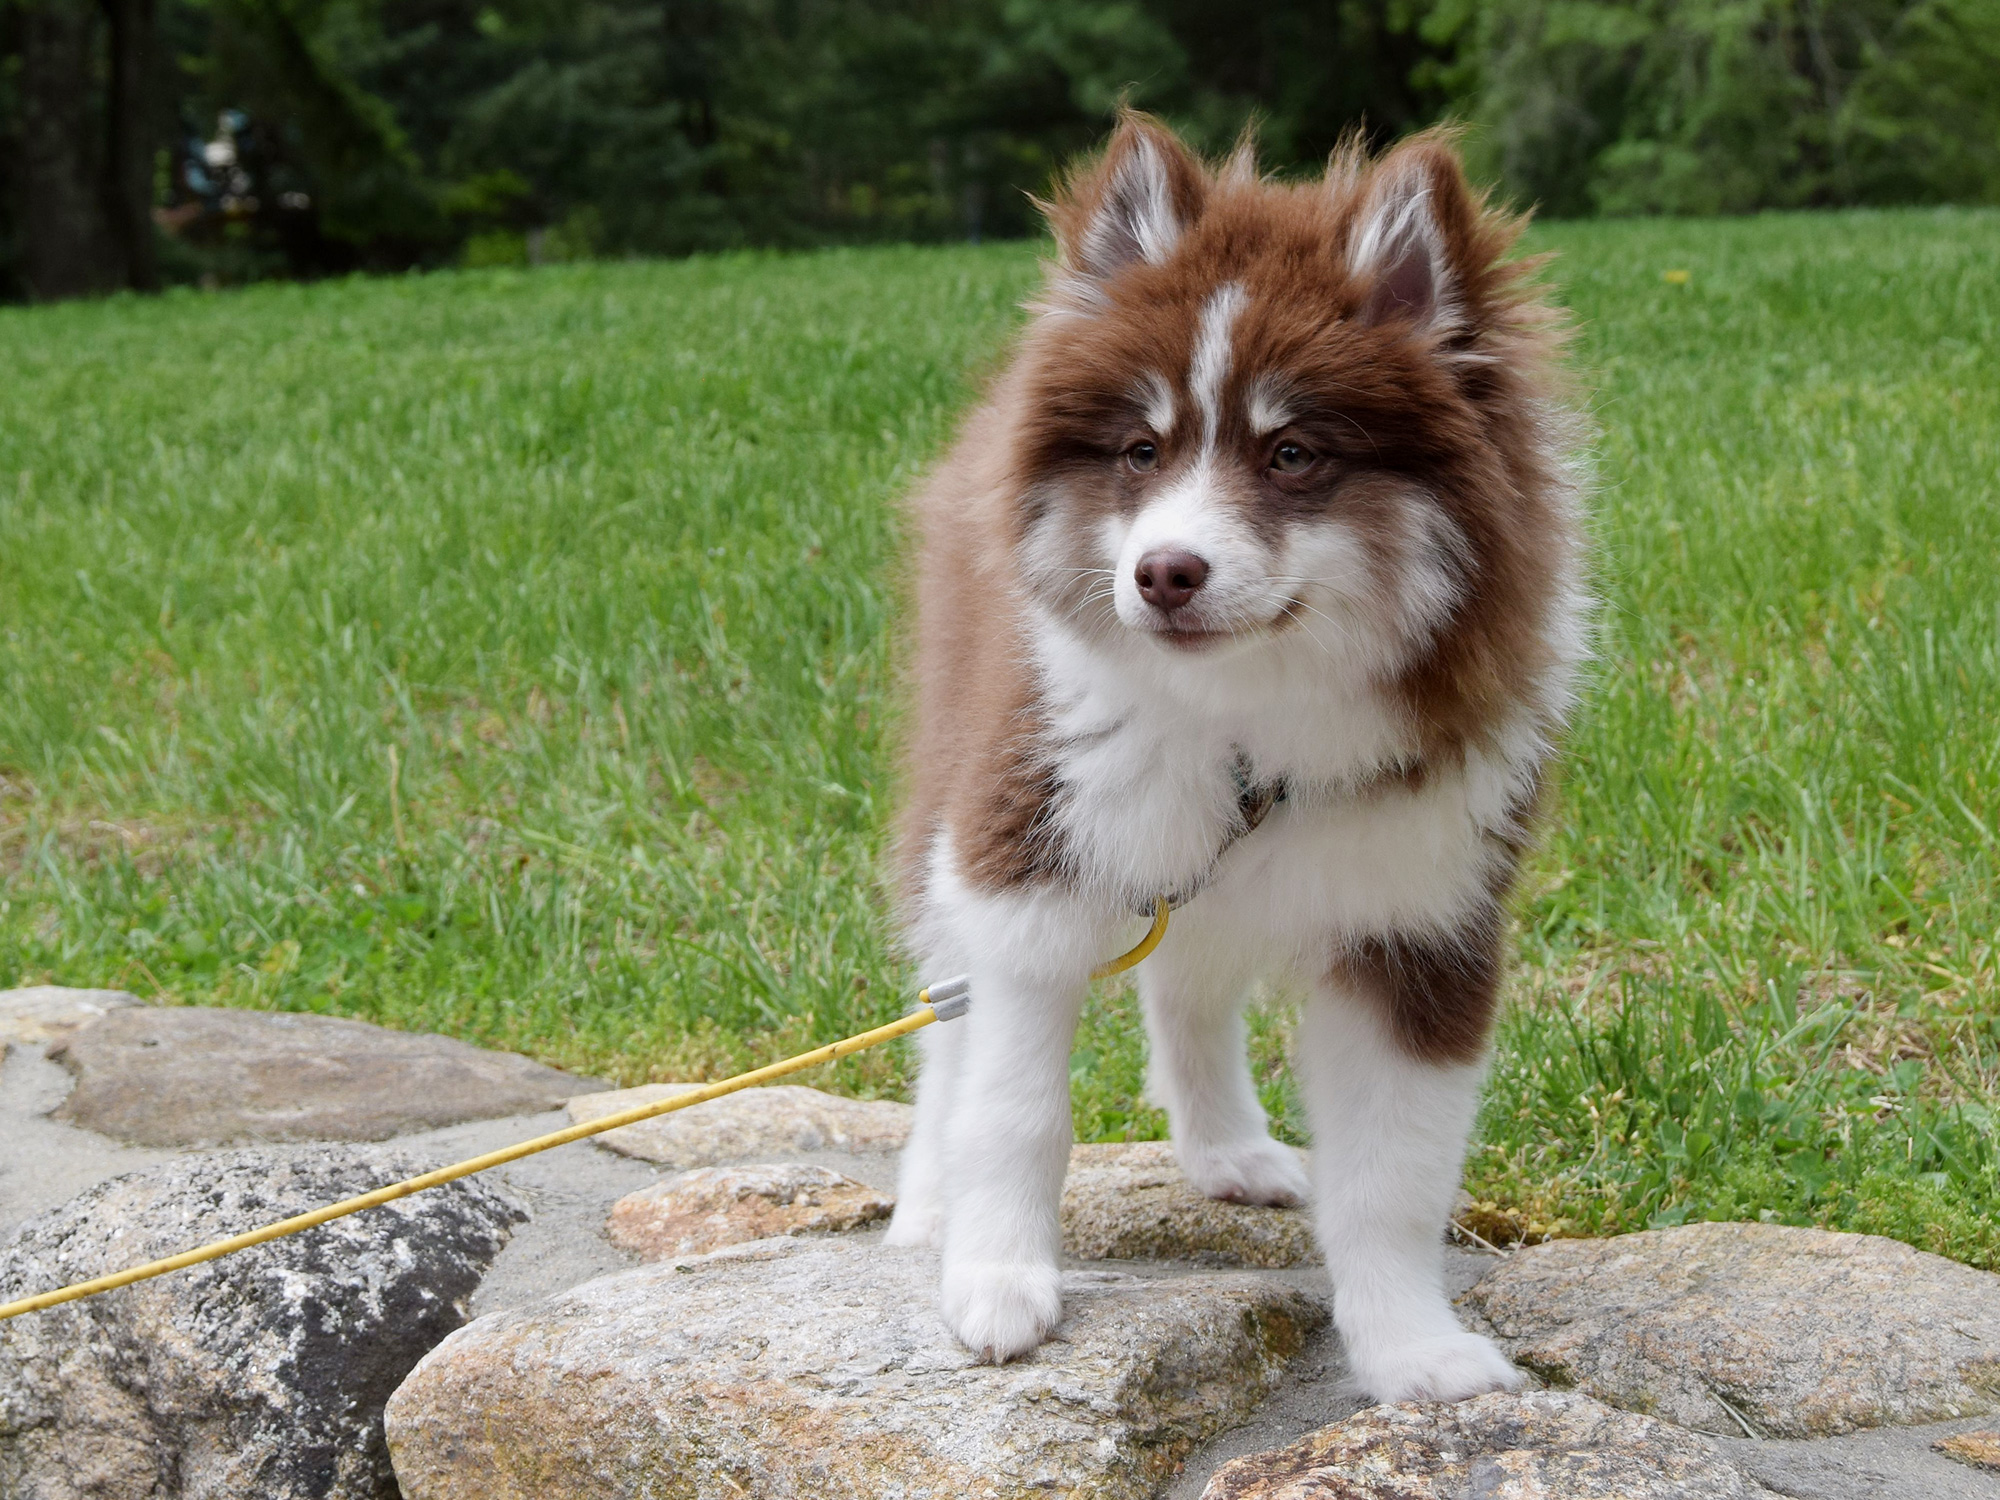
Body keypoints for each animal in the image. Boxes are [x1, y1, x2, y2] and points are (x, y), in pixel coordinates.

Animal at [884, 111, 1584, 1408]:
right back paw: (926, 1206)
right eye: (1139, 449)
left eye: (1293, 453)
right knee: (947, 1021)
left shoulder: (1422, 916)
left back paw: (1225, 1150)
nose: (1163, 572)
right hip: (956, 780)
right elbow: (1012, 1105)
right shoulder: (1028, 848)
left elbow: (1394, 1174)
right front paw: (996, 1284)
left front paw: (1411, 1350)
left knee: (1186, 982)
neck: (1249, 721)